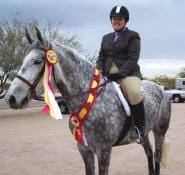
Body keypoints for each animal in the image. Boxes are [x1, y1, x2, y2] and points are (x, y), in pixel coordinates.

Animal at [4, 28, 171, 174]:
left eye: (37, 61)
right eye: (24, 60)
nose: (10, 98)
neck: (92, 100)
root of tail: (161, 89)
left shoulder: (104, 150)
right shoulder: (84, 149)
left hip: (159, 131)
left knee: (157, 155)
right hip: (145, 134)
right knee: (149, 152)